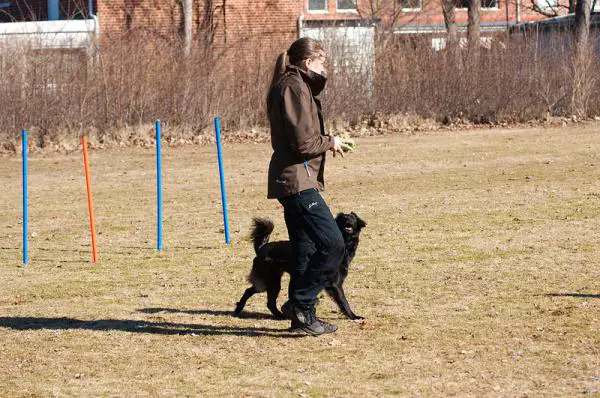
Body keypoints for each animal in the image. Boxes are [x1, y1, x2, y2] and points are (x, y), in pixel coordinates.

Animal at [234, 211, 366, 320]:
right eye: (343, 218)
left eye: (353, 218)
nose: (348, 219)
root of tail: (262, 248)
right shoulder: (334, 283)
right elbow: (343, 301)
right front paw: (353, 316)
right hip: (272, 281)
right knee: (265, 299)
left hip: (268, 281)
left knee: (253, 292)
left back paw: (240, 309)